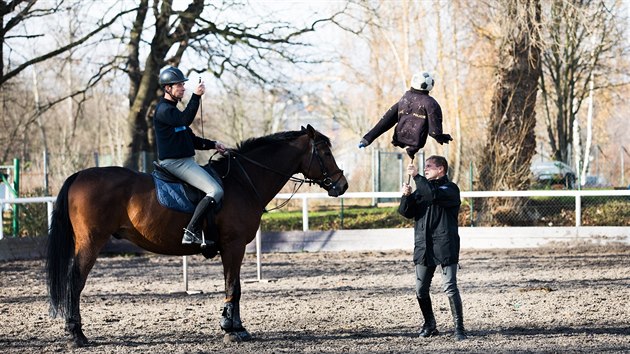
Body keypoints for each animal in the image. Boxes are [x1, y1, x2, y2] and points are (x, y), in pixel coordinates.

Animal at [46, 124, 348, 346]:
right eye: (324, 152)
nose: (342, 185)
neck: (242, 181)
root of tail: (79, 175)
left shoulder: (232, 248)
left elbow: (233, 286)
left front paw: (236, 327)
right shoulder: (234, 246)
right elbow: (233, 287)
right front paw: (231, 330)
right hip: (91, 242)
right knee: (75, 281)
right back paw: (76, 334)